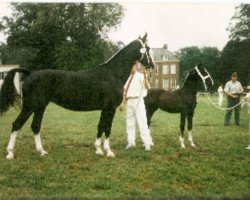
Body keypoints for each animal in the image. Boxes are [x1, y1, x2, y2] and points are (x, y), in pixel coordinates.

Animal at [0, 34, 155, 159]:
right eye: (147, 48)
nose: (153, 66)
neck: (112, 74)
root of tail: (30, 73)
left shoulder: (105, 109)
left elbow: (100, 127)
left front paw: (99, 150)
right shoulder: (110, 108)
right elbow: (107, 128)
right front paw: (109, 152)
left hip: (40, 107)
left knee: (35, 126)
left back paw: (42, 152)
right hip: (30, 106)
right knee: (17, 125)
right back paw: (10, 153)